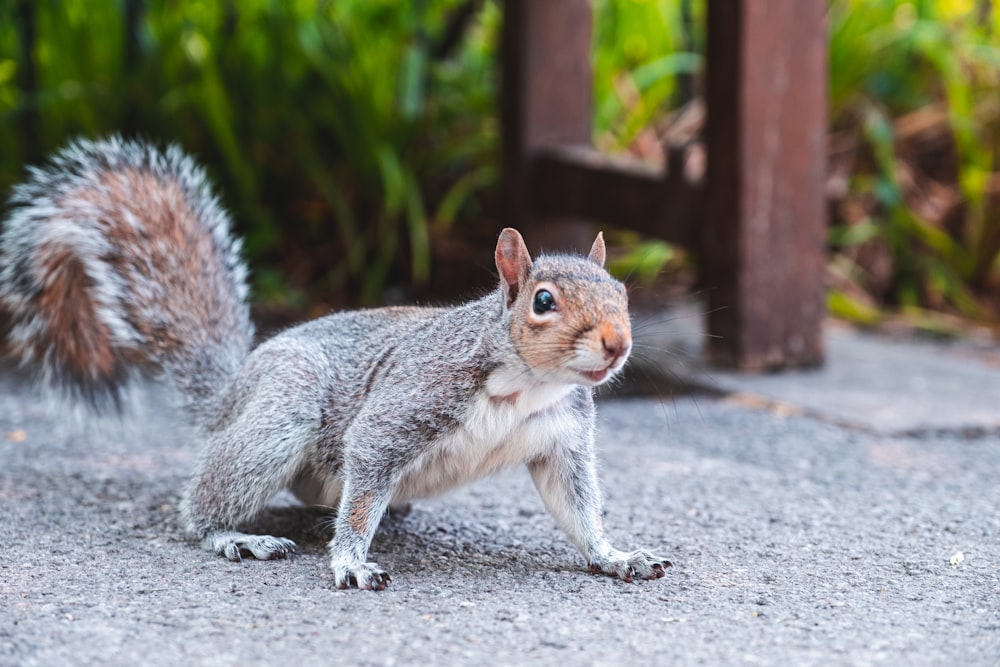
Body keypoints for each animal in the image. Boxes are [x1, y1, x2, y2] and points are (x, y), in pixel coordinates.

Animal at [3, 136, 672, 588]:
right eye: (543, 301)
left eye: (622, 292)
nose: (617, 343)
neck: (525, 385)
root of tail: (229, 393)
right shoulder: (406, 405)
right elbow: (362, 483)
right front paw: (351, 560)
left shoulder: (561, 438)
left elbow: (577, 508)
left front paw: (616, 556)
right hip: (283, 409)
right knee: (201, 506)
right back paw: (235, 536)